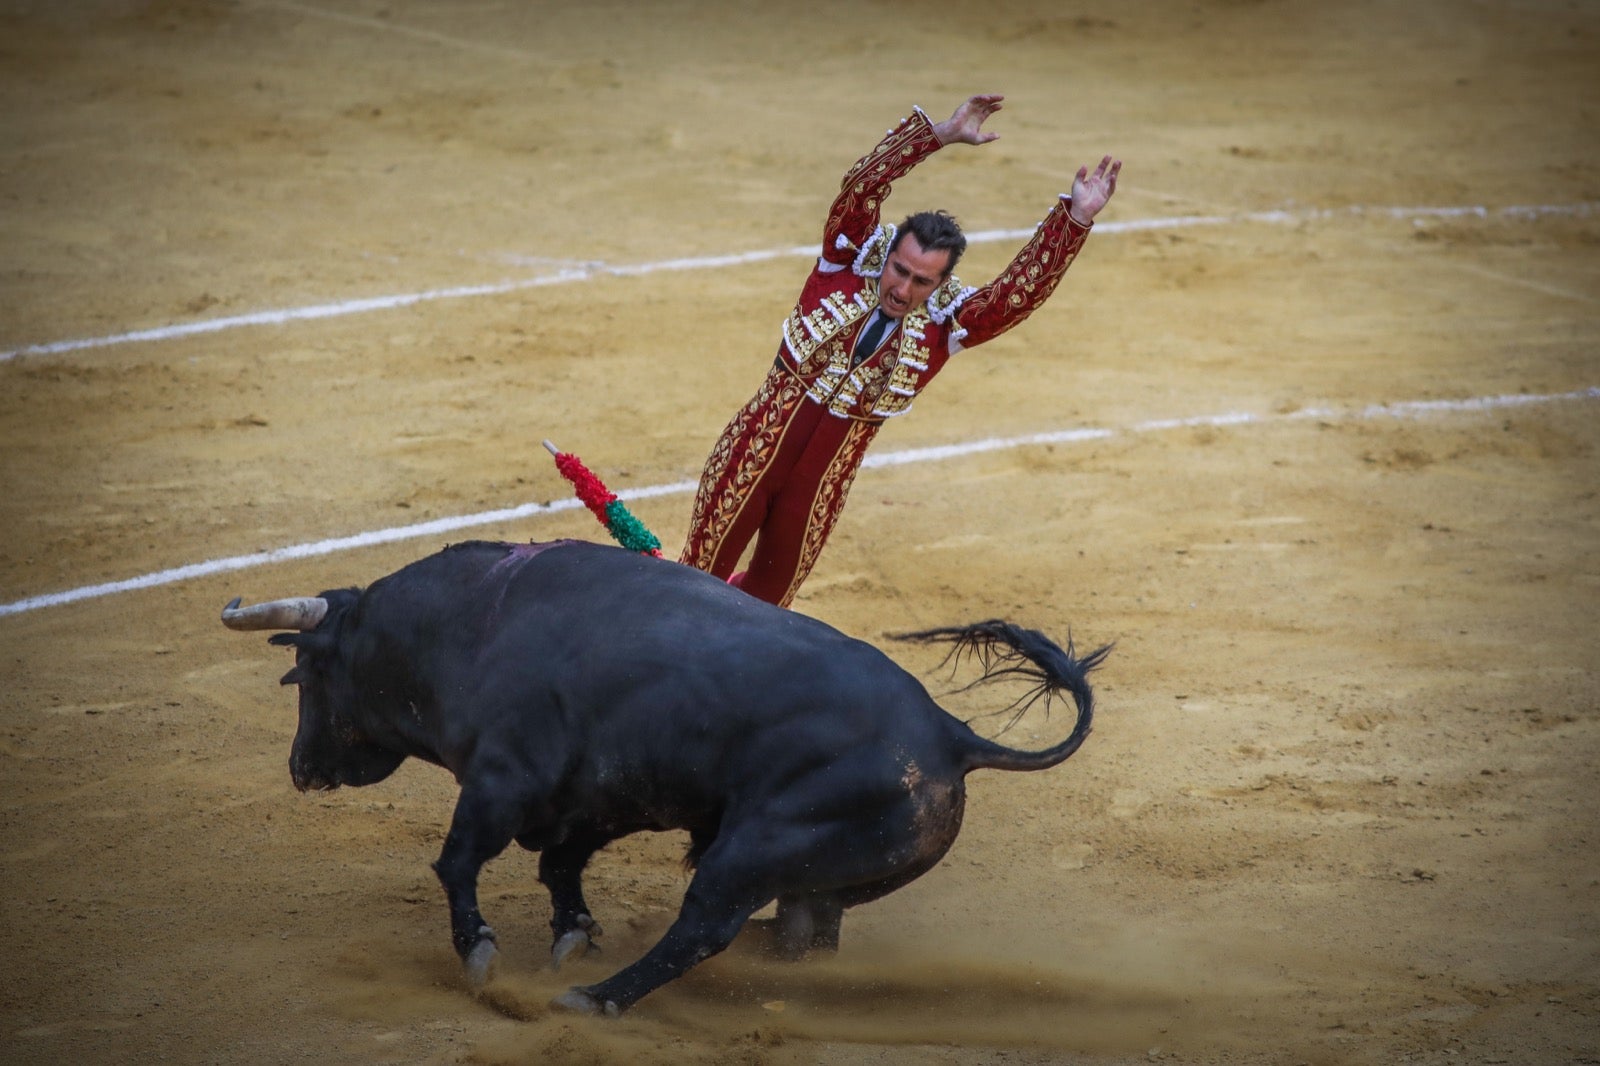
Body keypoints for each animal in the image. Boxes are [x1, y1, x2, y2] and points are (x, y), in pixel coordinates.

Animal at [219, 541, 1107, 1011]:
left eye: (307, 672)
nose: (301, 769)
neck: (470, 624)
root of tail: (952, 738)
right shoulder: (598, 799)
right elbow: (558, 867)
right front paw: (570, 936)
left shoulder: (504, 781)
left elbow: (459, 861)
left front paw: (484, 954)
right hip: (815, 877)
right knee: (804, 936)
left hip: (749, 853)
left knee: (704, 928)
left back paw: (596, 999)